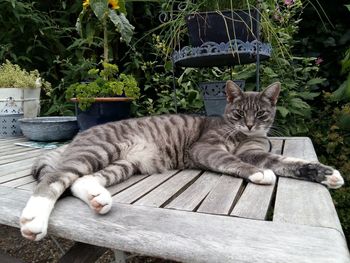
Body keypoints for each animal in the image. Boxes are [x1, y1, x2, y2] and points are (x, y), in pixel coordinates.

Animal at [18, 80, 342, 241]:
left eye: (261, 114)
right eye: (239, 113)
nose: (250, 125)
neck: (241, 136)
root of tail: (78, 137)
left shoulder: (257, 151)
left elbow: (286, 161)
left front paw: (325, 173)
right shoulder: (206, 149)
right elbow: (233, 161)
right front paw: (258, 174)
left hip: (122, 164)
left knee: (79, 181)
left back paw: (99, 198)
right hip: (98, 150)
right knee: (54, 179)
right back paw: (33, 220)